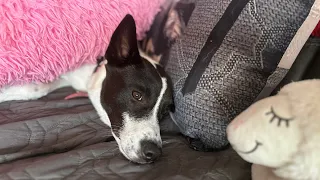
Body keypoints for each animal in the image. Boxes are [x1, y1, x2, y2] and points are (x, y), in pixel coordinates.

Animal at [0, 14, 175, 165]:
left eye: (165, 111)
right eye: (137, 95)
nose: (154, 153)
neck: (93, 73)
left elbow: (39, 87)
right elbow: (38, 88)